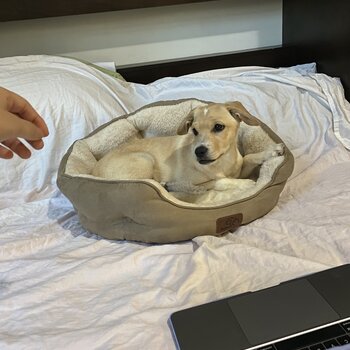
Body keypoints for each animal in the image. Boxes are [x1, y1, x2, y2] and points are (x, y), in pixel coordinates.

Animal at [91, 101, 284, 194]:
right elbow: (220, 181)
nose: (199, 151)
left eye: (219, 127)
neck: (222, 162)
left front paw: (273, 151)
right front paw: (245, 184)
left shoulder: (239, 167)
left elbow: (249, 157)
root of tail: (93, 172)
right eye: (194, 130)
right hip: (145, 160)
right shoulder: (204, 180)